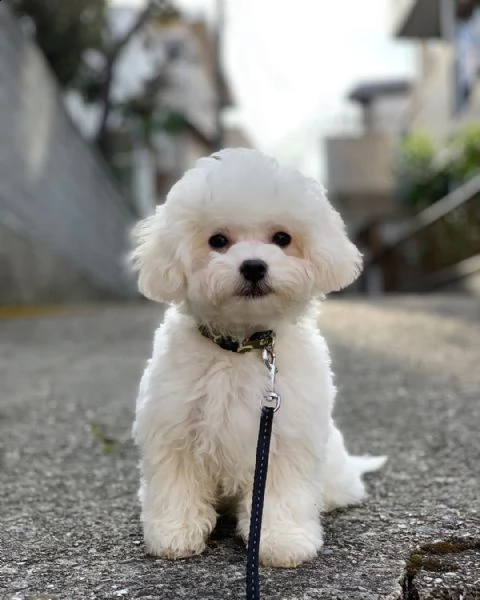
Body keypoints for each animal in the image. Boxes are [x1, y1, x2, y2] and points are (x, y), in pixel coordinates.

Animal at [129, 146, 384, 568]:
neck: (242, 345)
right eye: (218, 240)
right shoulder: (175, 425)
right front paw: (174, 533)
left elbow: (280, 494)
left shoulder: (285, 437)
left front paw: (281, 540)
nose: (253, 265)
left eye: (282, 238)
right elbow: (177, 483)